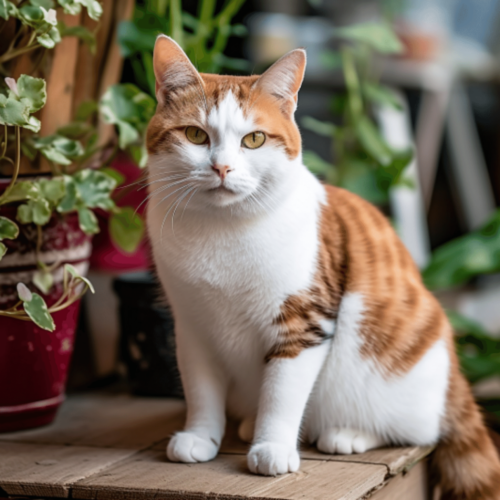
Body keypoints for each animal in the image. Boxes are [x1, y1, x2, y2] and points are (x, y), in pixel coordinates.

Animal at [145, 33, 500, 498]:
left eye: (254, 140)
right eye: (194, 135)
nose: (222, 167)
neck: (221, 231)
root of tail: (455, 379)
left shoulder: (304, 322)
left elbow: (282, 392)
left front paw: (273, 447)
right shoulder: (192, 325)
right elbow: (201, 389)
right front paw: (201, 436)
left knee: (419, 431)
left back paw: (346, 434)